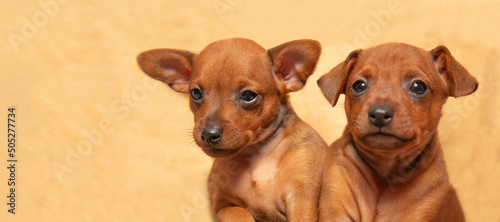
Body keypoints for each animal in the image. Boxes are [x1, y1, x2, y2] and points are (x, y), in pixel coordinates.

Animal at [139, 38, 330, 222]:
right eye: (195, 93)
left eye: (248, 96)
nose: (208, 134)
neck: (256, 157)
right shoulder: (223, 206)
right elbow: (239, 213)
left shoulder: (301, 200)